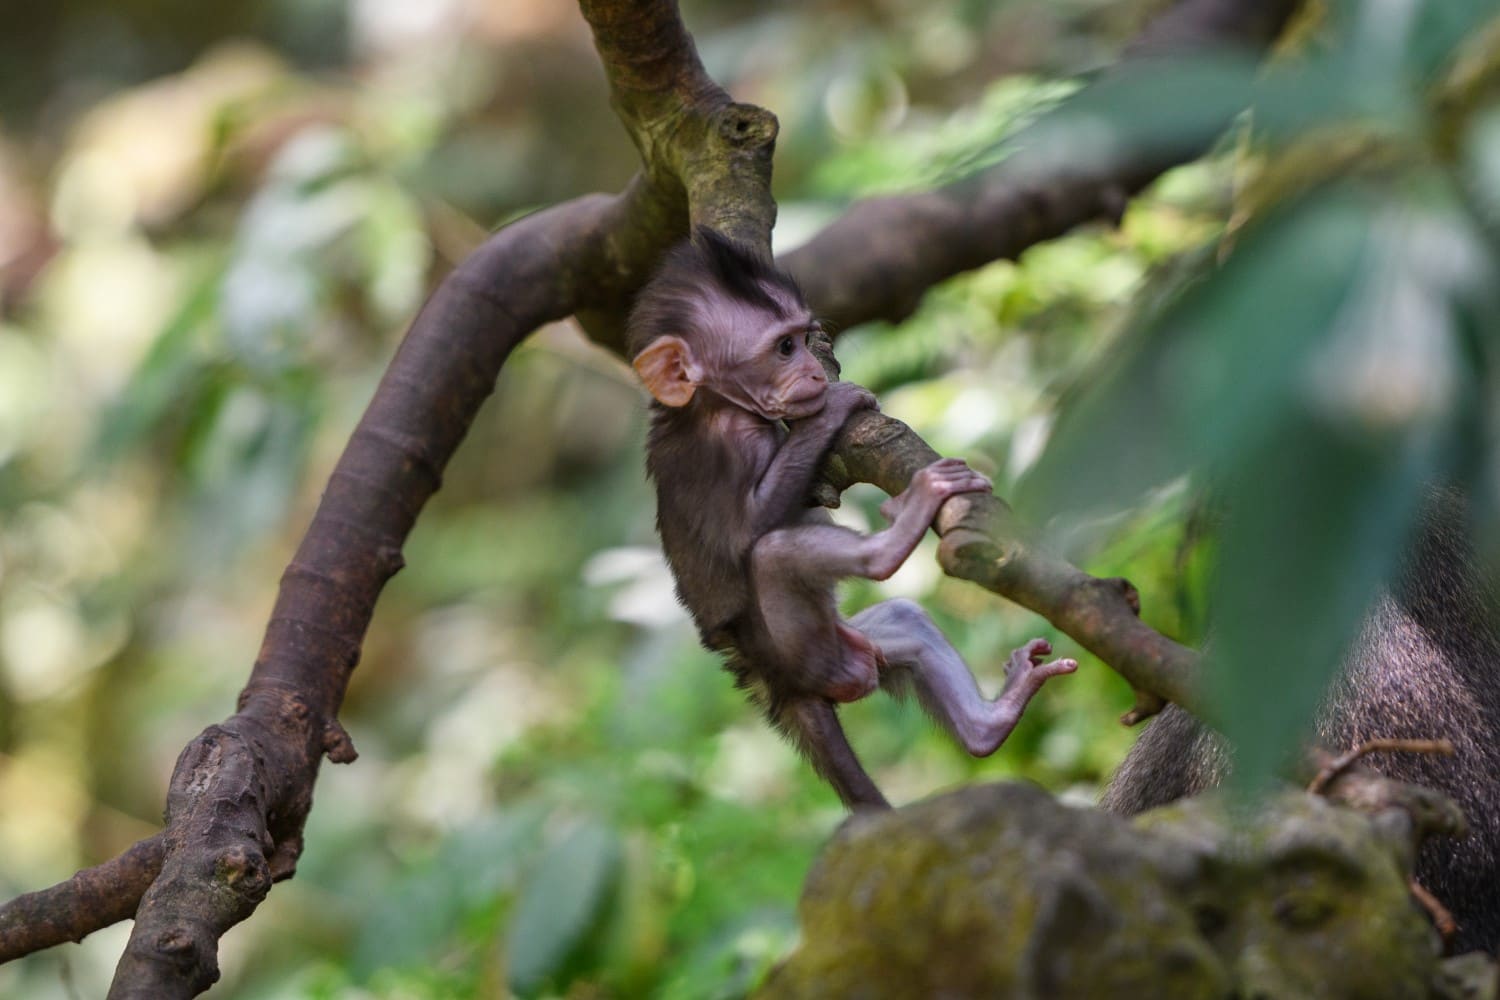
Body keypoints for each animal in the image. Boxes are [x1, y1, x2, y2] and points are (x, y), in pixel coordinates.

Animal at [627, 227, 1076, 810]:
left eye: (803, 337)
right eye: (784, 348)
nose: (815, 370)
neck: (710, 406)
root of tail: (776, 684)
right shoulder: (724, 447)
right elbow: (745, 532)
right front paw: (833, 409)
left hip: (851, 645)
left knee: (902, 621)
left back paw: (990, 723)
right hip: (809, 655)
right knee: (773, 554)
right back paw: (893, 538)